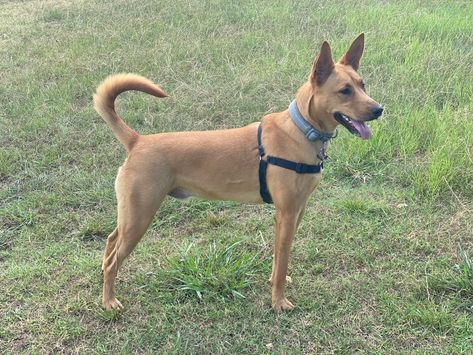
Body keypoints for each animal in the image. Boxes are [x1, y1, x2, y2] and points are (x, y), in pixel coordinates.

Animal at [96, 32, 384, 312]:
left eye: (362, 85)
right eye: (344, 90)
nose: (379, 109)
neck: (302, 129)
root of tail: (137, 141)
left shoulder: (296, 211)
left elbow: (279, 258)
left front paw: (274, 283)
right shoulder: (287, 214)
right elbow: (282, 262)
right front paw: (278, 302)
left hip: (130, 215)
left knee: (110, 242)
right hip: (139, 217)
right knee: (113, 261)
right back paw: (109, 301)